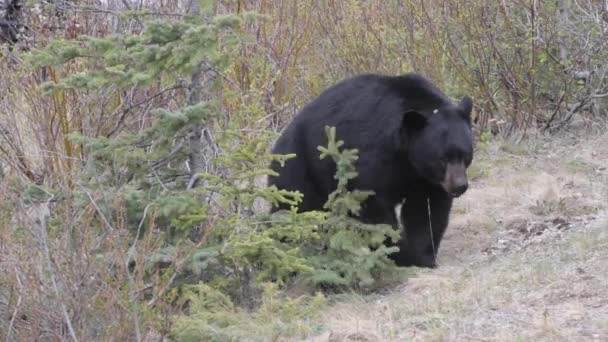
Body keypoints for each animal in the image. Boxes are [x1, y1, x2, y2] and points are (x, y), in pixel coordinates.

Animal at [270, 73, 476, 268]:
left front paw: (421, 256)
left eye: (466, 155)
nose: (460, 186)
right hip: (301, 171)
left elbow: (426, 209)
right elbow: (373, 204)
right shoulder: (372, 156)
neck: (406, 155)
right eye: (442, 158)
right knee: (294, 209)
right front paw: (396, 251)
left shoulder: (425, 179)